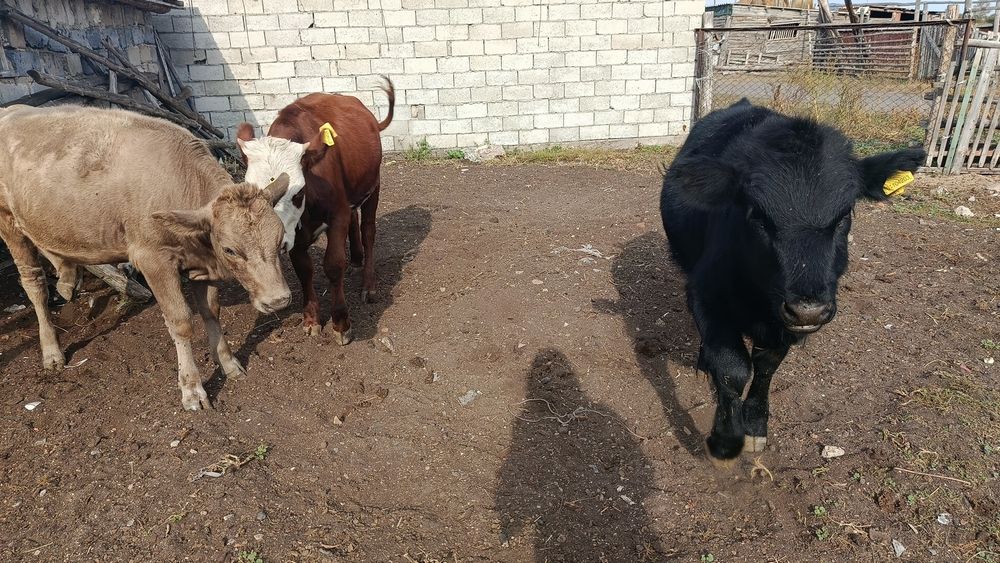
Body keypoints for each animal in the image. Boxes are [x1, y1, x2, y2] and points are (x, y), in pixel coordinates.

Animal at [0, 105, 292, 411]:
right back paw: (51, 351)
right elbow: (181, 321)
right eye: (230, 249)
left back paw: (67, 280)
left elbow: (211, 312)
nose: (278, 300)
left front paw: (229, 363)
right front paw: (192, 389)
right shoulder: (153, 259)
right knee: (33, 283)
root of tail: (12, 110)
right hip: (8, 221)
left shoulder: (202, 265)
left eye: (279, 239)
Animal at [235, 78, 395, 345]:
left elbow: (333, 264)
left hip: (373, 187)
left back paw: (368, 284)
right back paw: (357, 257)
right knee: (355, 220)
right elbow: (304, 270)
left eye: (298, 193)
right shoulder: (295, 236)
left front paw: (341, 322)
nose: (273, 242)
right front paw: (311, 319)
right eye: (251, 195)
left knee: (368, 231)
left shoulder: (337, 214)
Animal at [659, 99, 925, 465]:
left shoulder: (783, 323)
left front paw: (755, 426)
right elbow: (732, 368)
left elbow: (765, 366)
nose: (809, 310)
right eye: (756, 215)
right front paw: (725, 440)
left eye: (844, 215)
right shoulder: (704, 293)